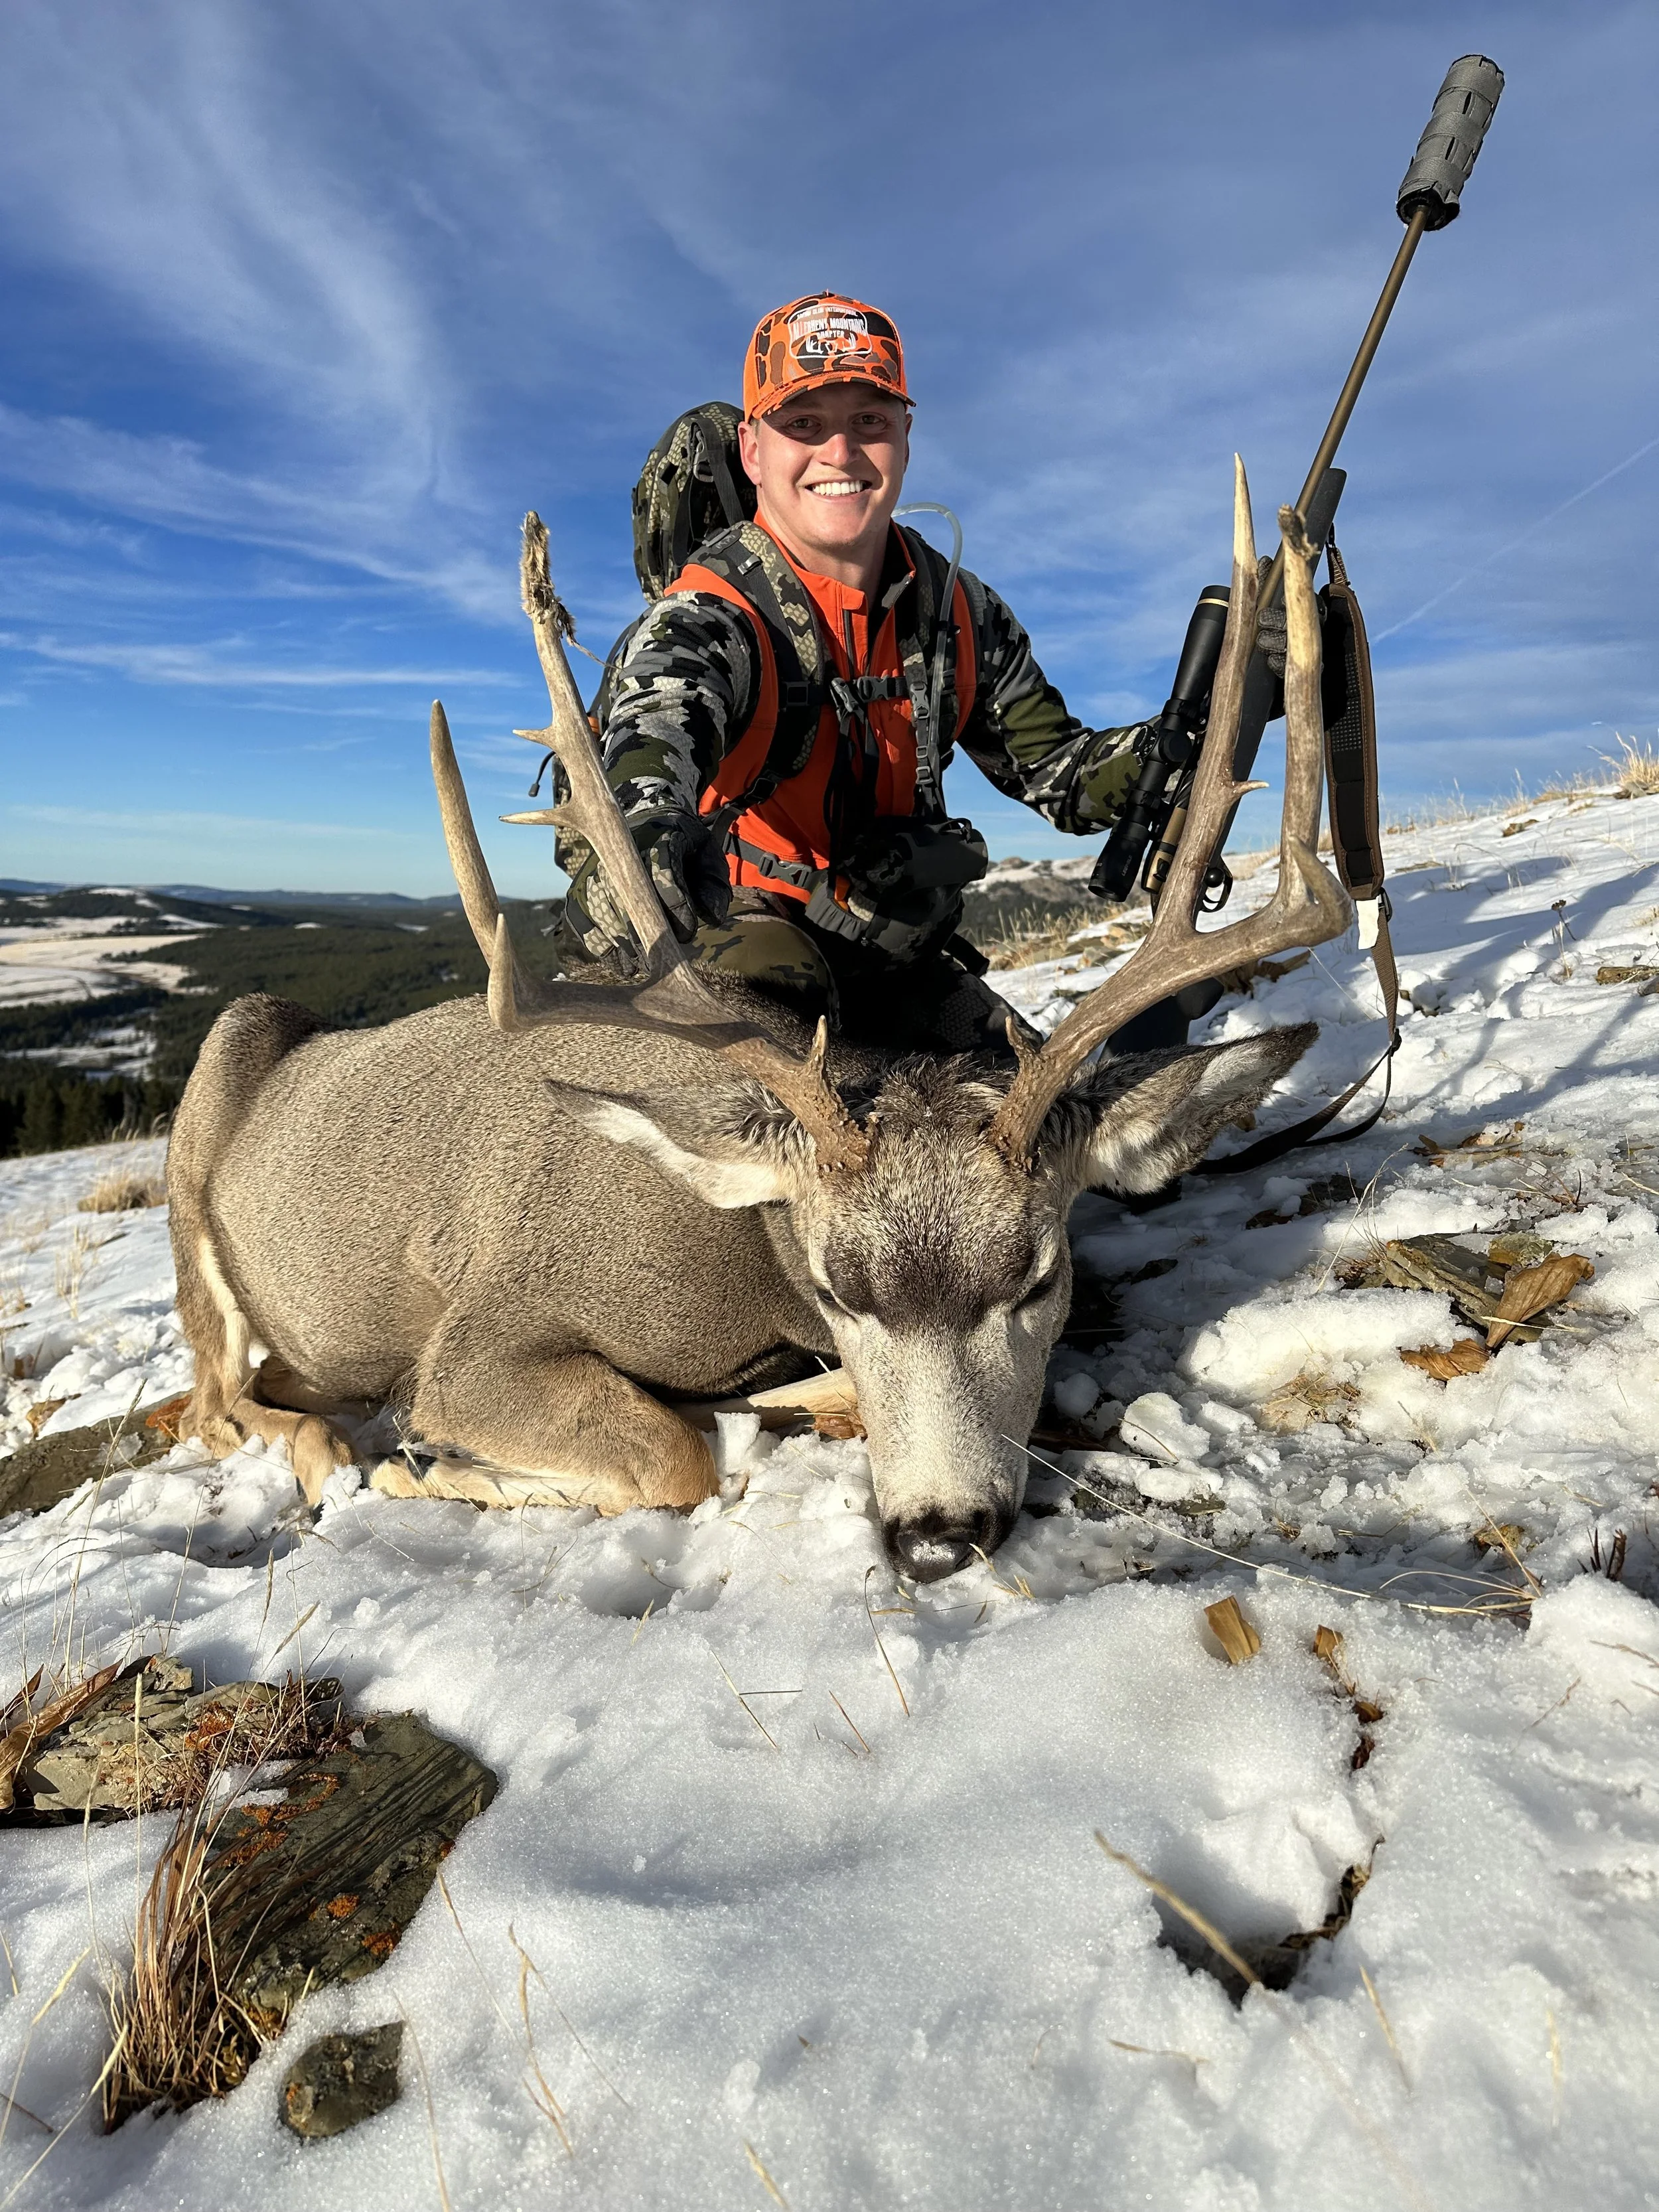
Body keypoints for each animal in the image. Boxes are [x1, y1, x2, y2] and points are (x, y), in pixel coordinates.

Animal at [165, 459, 1350, 1580]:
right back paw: (338, 1454)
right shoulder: (482, 1338)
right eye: (836, 1288)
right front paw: (423, 1462)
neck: (748, 1264)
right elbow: (670, 1456)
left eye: (1039, 1277)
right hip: (212, 1127)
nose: (936, 1536)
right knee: (217, 1401)